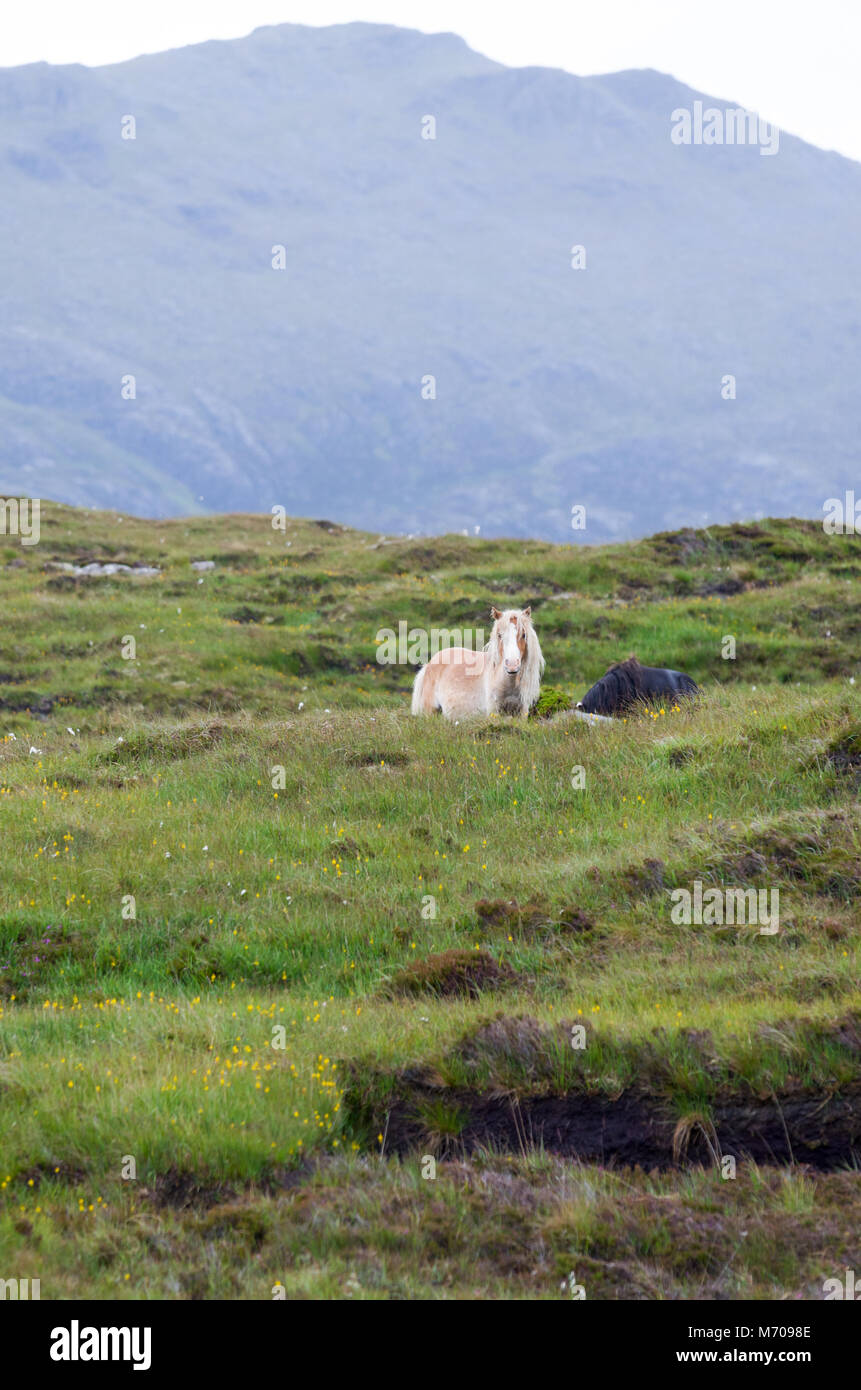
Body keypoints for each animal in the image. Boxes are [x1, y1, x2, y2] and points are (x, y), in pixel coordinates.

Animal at [411, 606, 545, 717]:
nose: (512, 665)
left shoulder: (521, 713)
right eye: (499, 635)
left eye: (523, 635)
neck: (509, 686)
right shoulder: (493, 712)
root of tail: (428, 665)